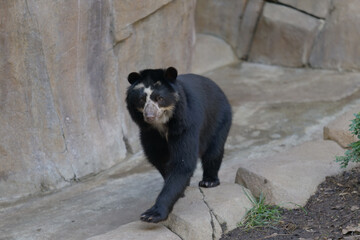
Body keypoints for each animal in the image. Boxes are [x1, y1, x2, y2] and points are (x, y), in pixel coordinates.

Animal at [125, 66, 232, 223]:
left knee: (214, 151)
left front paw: (152, 214)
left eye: (160, 98)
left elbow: (183, 162)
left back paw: (209, 181)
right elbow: (159, 159)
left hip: (219, 119)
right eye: (141, 99)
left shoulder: (185, 124)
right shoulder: (149, 133)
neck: (162, 125)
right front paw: (180, 190)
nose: (149, 116)